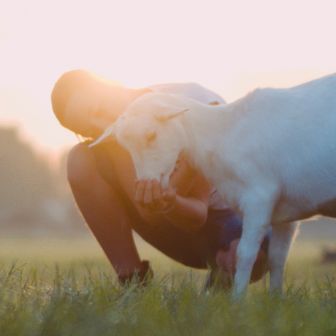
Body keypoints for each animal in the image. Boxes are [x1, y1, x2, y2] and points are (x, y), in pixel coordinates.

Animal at [90, 74, 336, 296]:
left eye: (151, 135)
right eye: (124, 146)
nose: (146, 182)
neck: (222, 131)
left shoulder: (259, 197)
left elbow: (245, 254)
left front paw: (238, 303)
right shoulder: (286, 212)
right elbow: (277, 259)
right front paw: (275, 303)